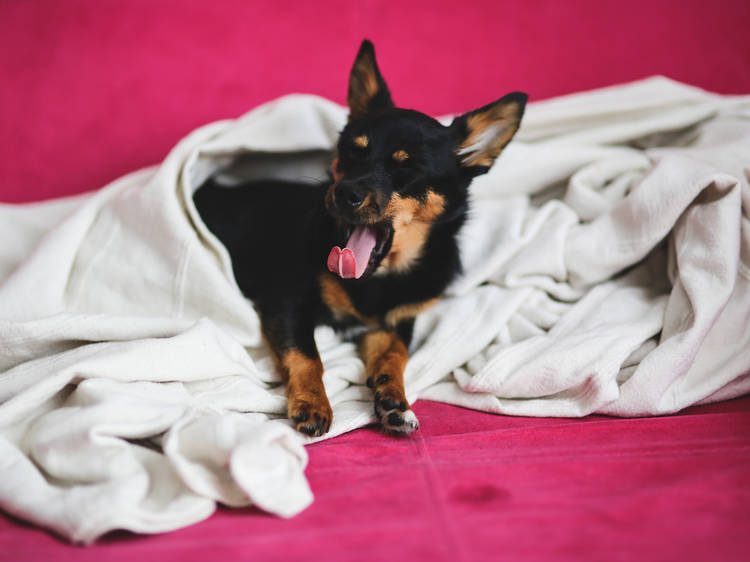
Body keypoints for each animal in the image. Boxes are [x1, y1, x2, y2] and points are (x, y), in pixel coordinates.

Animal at [195, 41, 528, 436]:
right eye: (352, 152)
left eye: (407, 170)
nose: (344, 193)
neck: (381, 276)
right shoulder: (285, 301)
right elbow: (307, 355)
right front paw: (312, 403)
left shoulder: (394, 323)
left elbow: (396, 355)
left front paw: (395, 400)